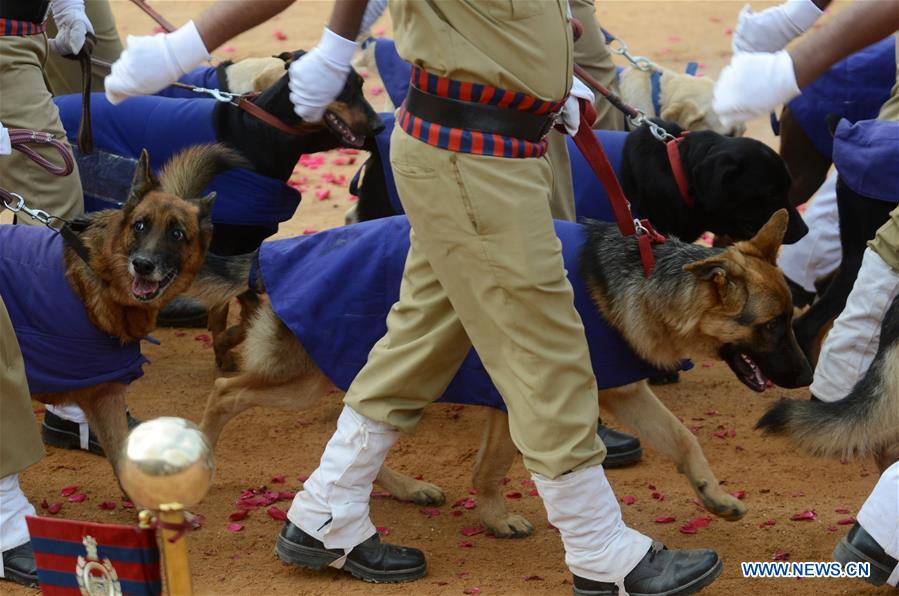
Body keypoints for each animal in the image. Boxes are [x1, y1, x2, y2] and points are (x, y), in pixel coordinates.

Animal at [186, 208, 812, 536]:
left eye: (791, 318)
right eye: (771, 326)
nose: (807, 377)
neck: (648, 280)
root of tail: (272, 251)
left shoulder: (624, 394)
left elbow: (684, 440)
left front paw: (715, 497)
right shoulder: (531, 400)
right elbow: (492, 467)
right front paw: (494, 518)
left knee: (354, 421)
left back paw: (404, 488)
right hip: (300, 378)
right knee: (223, 390)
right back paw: (202, 457)